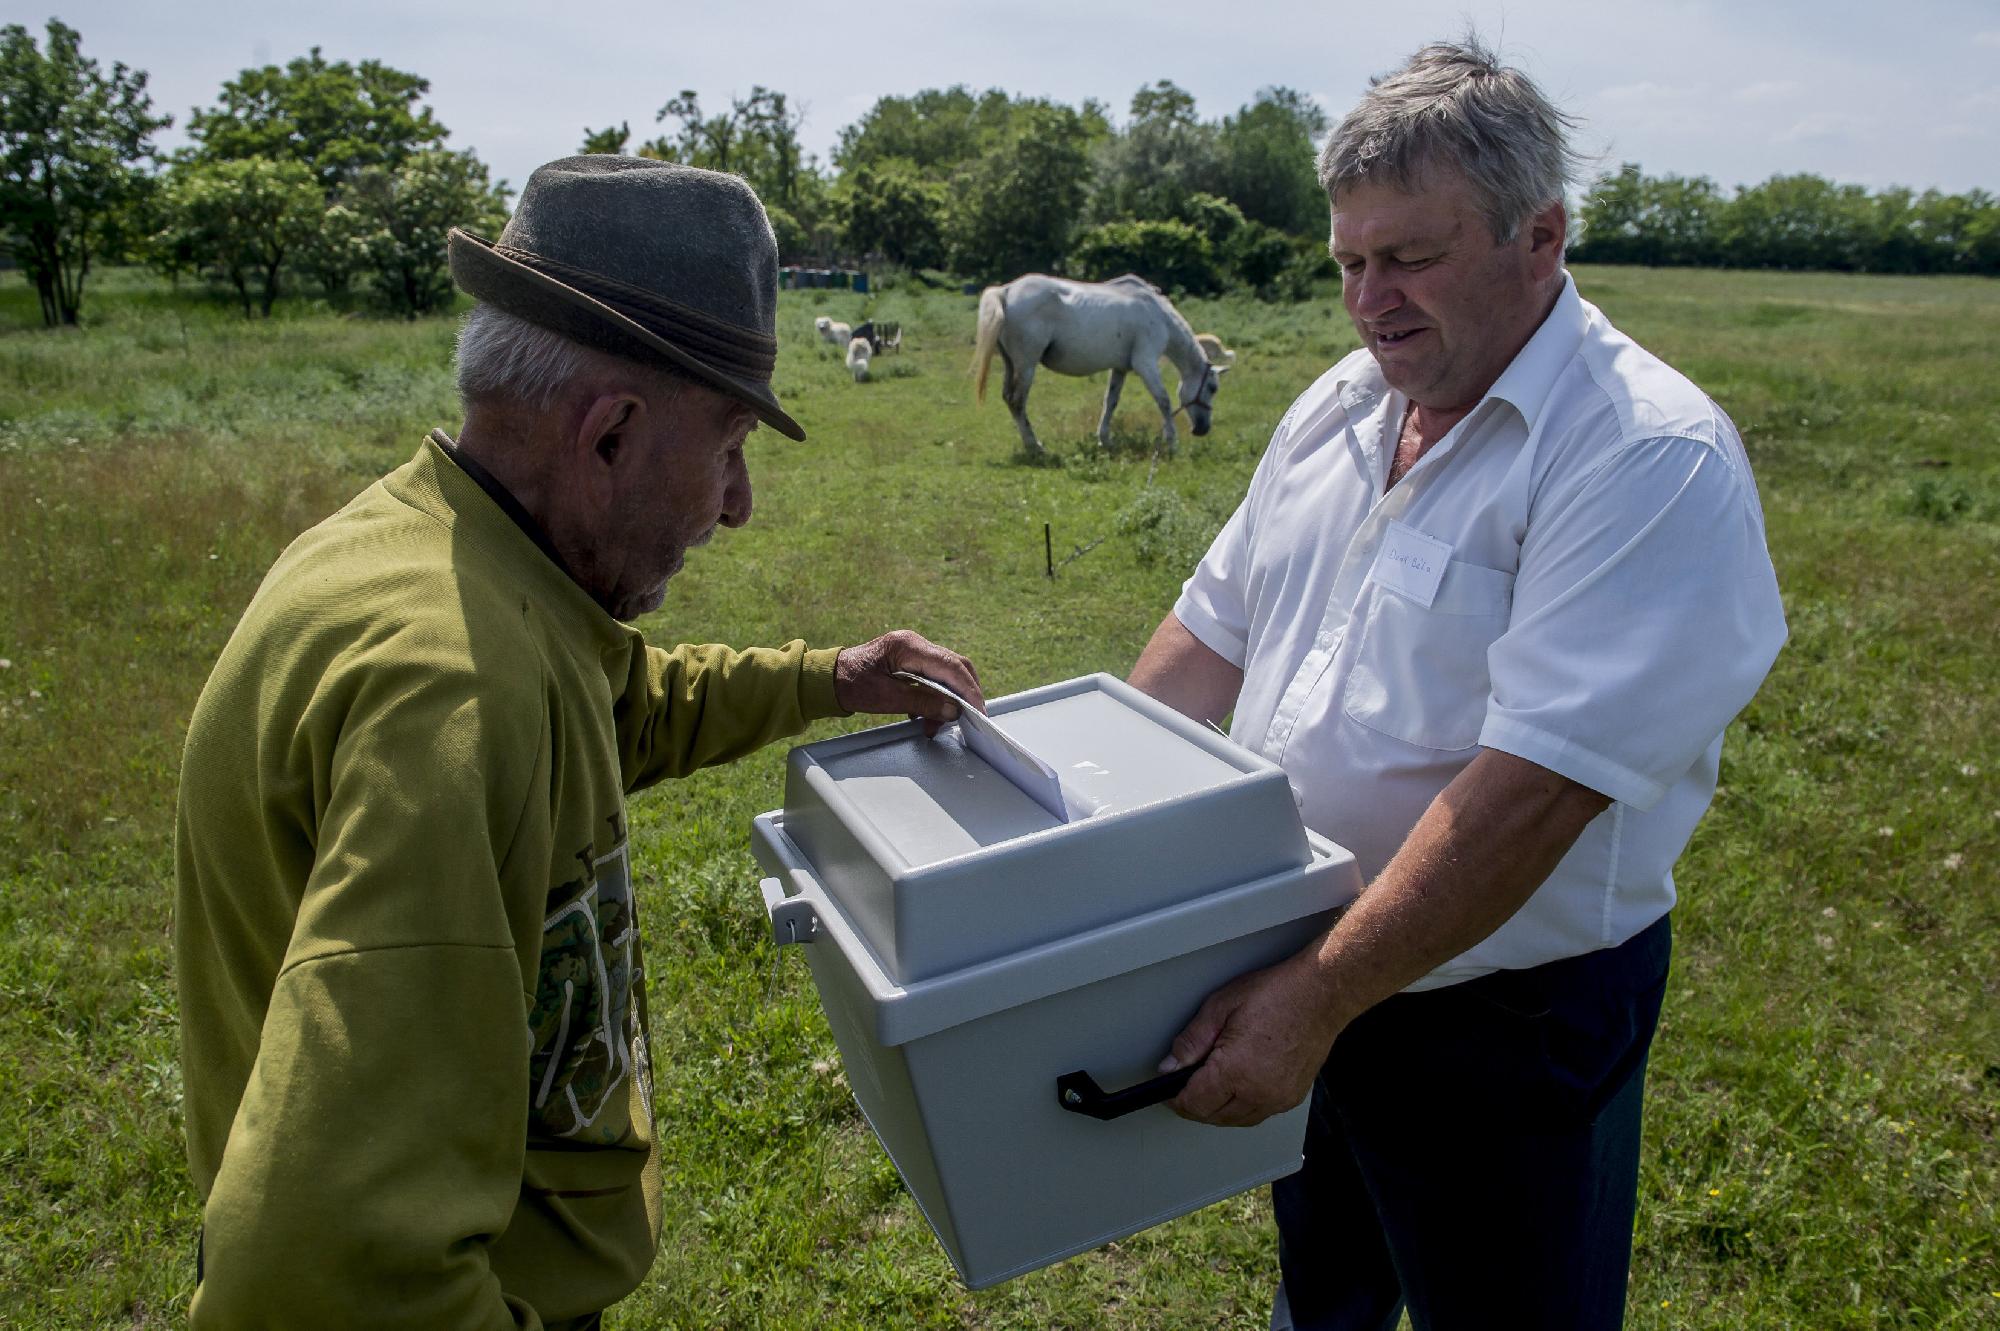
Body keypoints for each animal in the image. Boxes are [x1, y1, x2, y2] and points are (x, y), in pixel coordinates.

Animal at [968, 271, 1216, 453]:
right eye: (1213, 387)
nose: (1203, 429)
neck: (1158, 314)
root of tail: (1006, 291)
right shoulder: (1145, 364)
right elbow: (1163, 400)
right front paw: (1172, 442)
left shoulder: (1120, 368)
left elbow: (1111, 402)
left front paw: (1104, 440)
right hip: (1026, 366)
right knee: (1017, 401)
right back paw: (1035, 446)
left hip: (1011, 364)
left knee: (1009, 399)